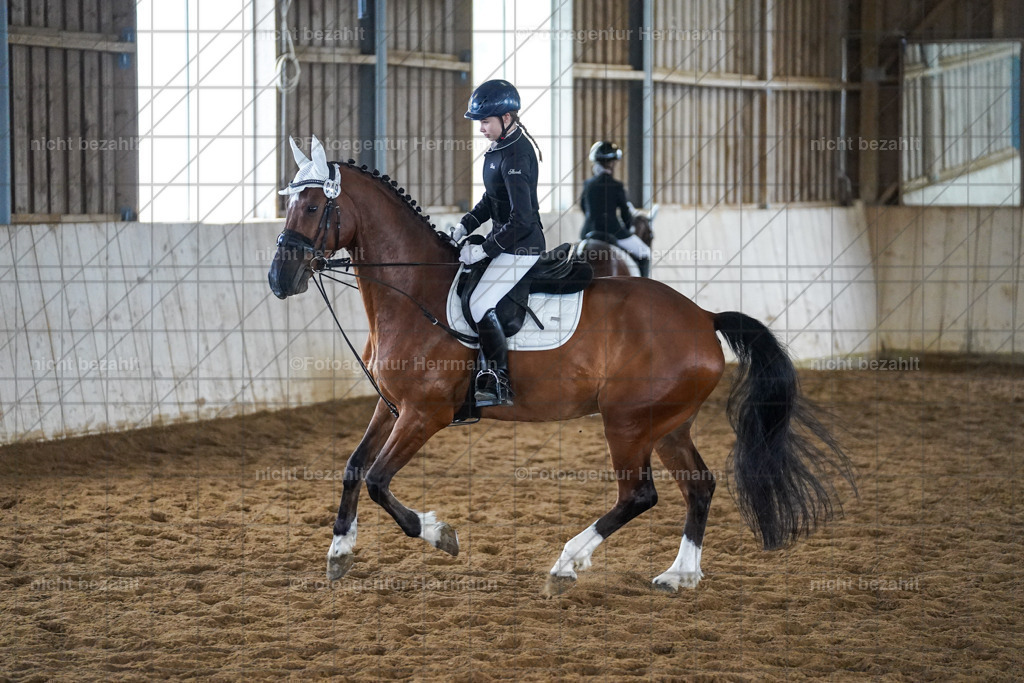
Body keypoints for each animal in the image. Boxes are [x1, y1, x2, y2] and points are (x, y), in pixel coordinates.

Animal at [268, 160, 855, 597]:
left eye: (314, 206)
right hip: (666, 425)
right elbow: (353, 468)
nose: (279, 279)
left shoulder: (423, 414)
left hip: (627, 423)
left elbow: (378, 481)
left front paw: (440, 534)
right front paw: (339, 551)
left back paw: (567, 563)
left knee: (639, 495)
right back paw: (679, 574)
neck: (416, 293)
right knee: (700, 486)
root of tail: (703, 317)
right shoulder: (389, 406)